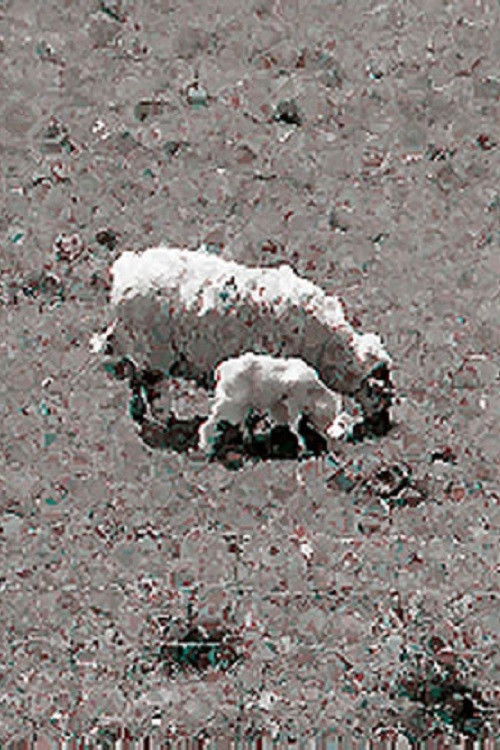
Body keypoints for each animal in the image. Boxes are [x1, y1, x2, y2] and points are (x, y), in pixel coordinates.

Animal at [91, 245, 393, 427]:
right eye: (382, 390)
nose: (382, 424)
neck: (328, 346)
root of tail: (124, 276)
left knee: (136, 376)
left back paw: (139, 411)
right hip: (156, 349)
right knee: (152, 383)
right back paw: (165, 417)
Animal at [197, 353, 343, 454]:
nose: (334, 450)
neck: (312, 391)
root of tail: (221, 370)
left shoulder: (280, 404)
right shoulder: (294, 400)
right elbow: (294, 424)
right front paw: (303, 446)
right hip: (231, 402)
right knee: (212, 419)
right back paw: (206, 446)